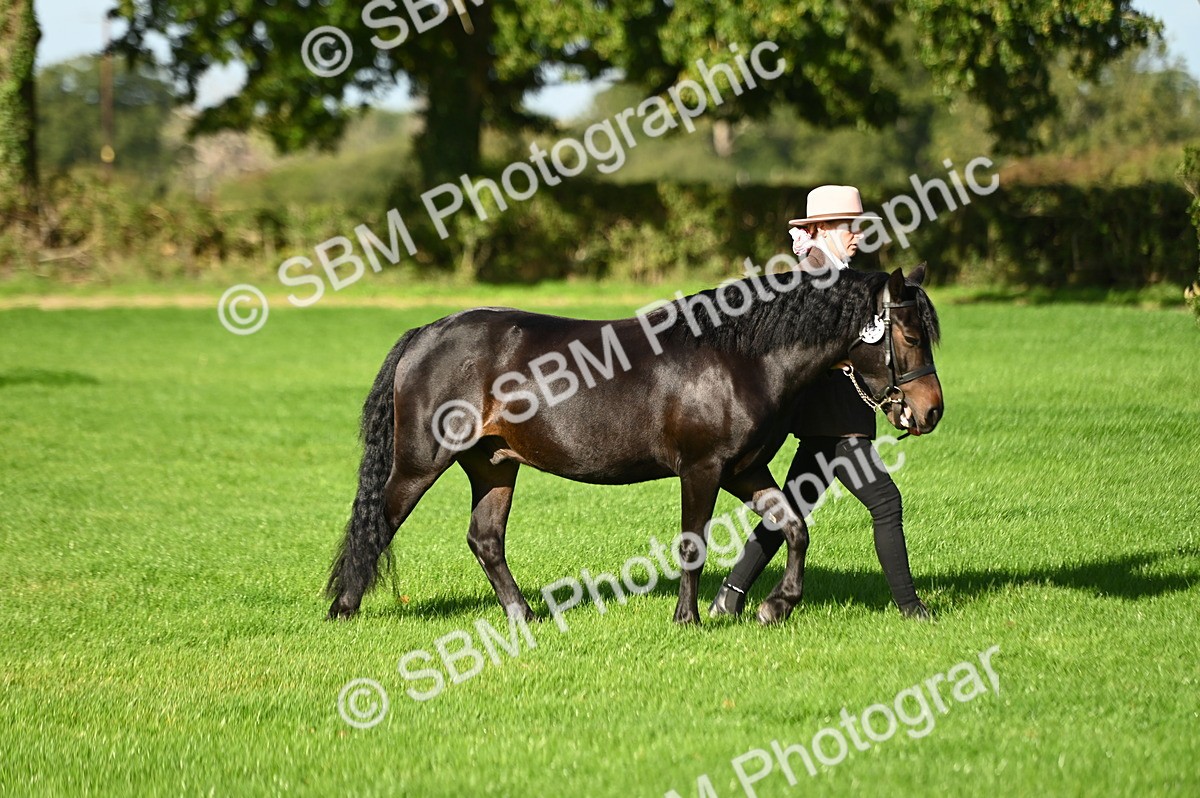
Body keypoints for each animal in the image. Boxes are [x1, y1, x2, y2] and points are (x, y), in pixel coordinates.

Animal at [326, 265, 942, 625]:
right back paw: (342, 608)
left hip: (494, 465)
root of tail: (426, 334)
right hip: (419, 463)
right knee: (378, 523)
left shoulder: (744, 470)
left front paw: (775, 605)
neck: (738, 357)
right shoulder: (702, 469)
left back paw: (523, 615)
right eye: (911, 335)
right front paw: (687, 619)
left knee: (485, 539)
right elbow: (693, 543)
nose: (931, 410)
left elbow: (792, 527)